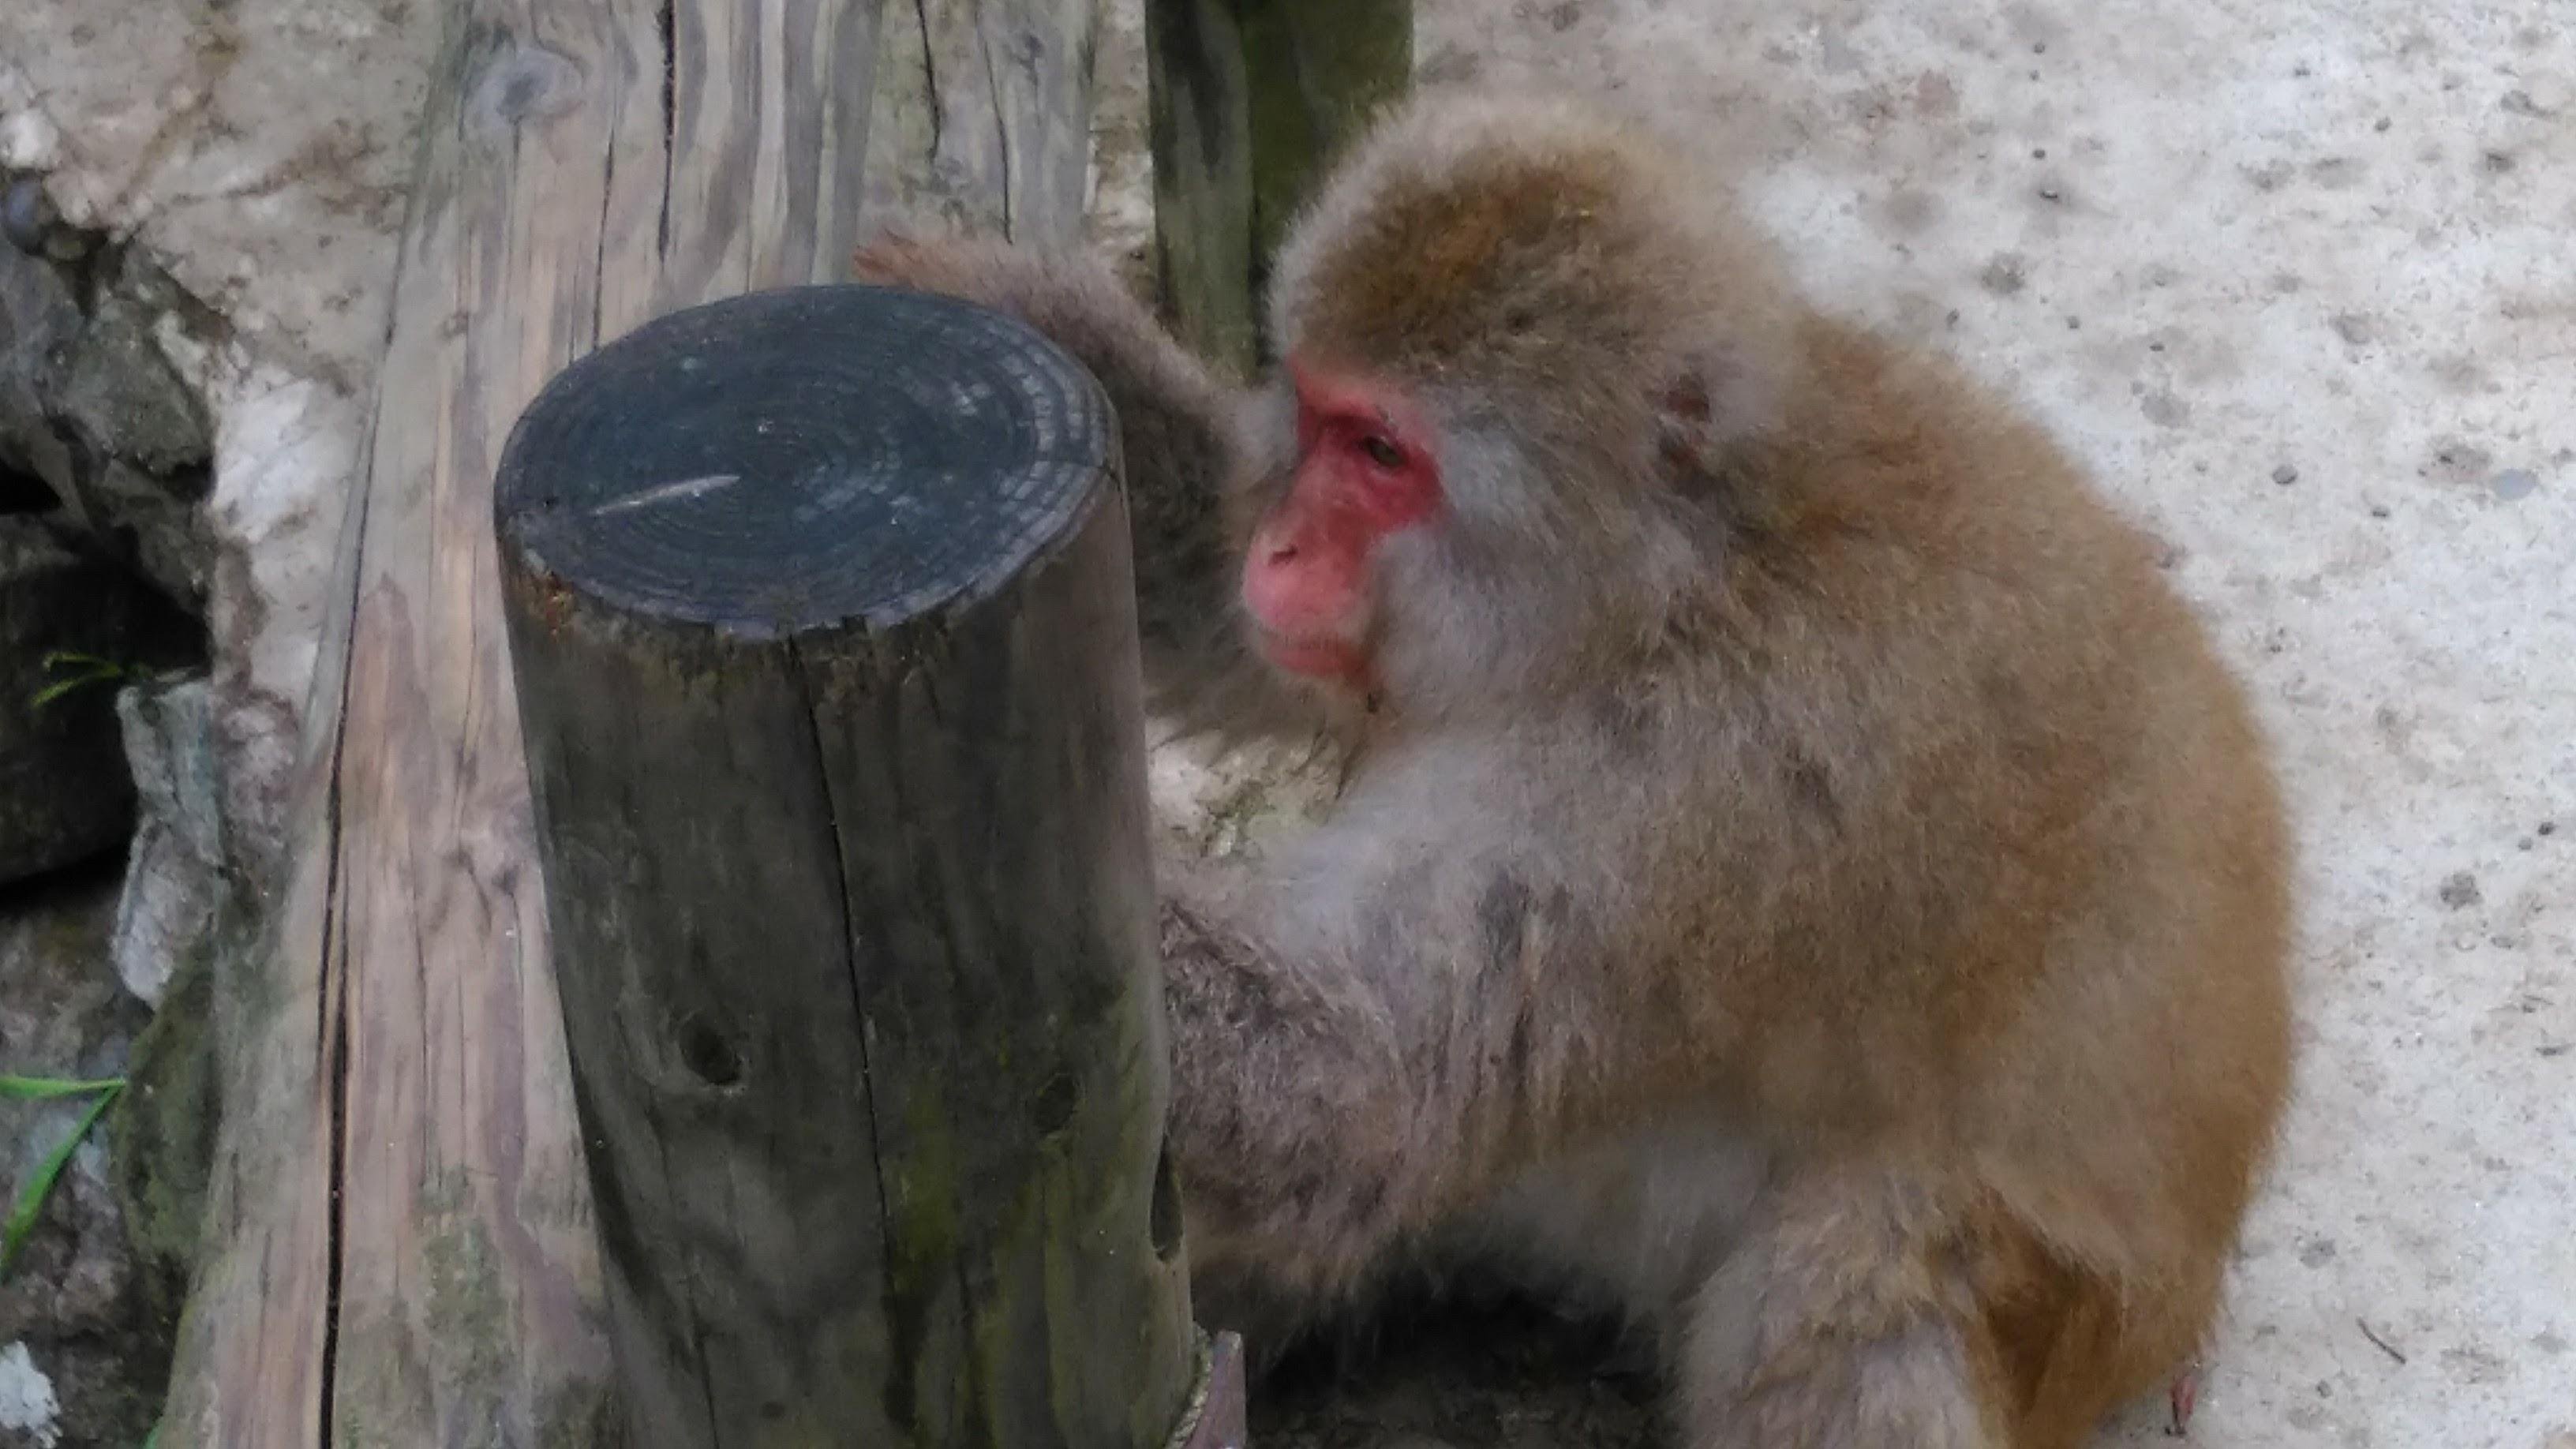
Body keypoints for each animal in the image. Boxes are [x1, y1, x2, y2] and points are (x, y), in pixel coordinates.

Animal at [854, 86, 2294, 1449]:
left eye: (1384, 455)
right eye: (1315, 418)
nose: (1287, 551)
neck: (1671, 589)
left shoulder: (1700, 778)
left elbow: (1359, 1097)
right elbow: (1225, 624)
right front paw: (977, 291)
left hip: (2074, 1317)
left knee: (1844, 1281)